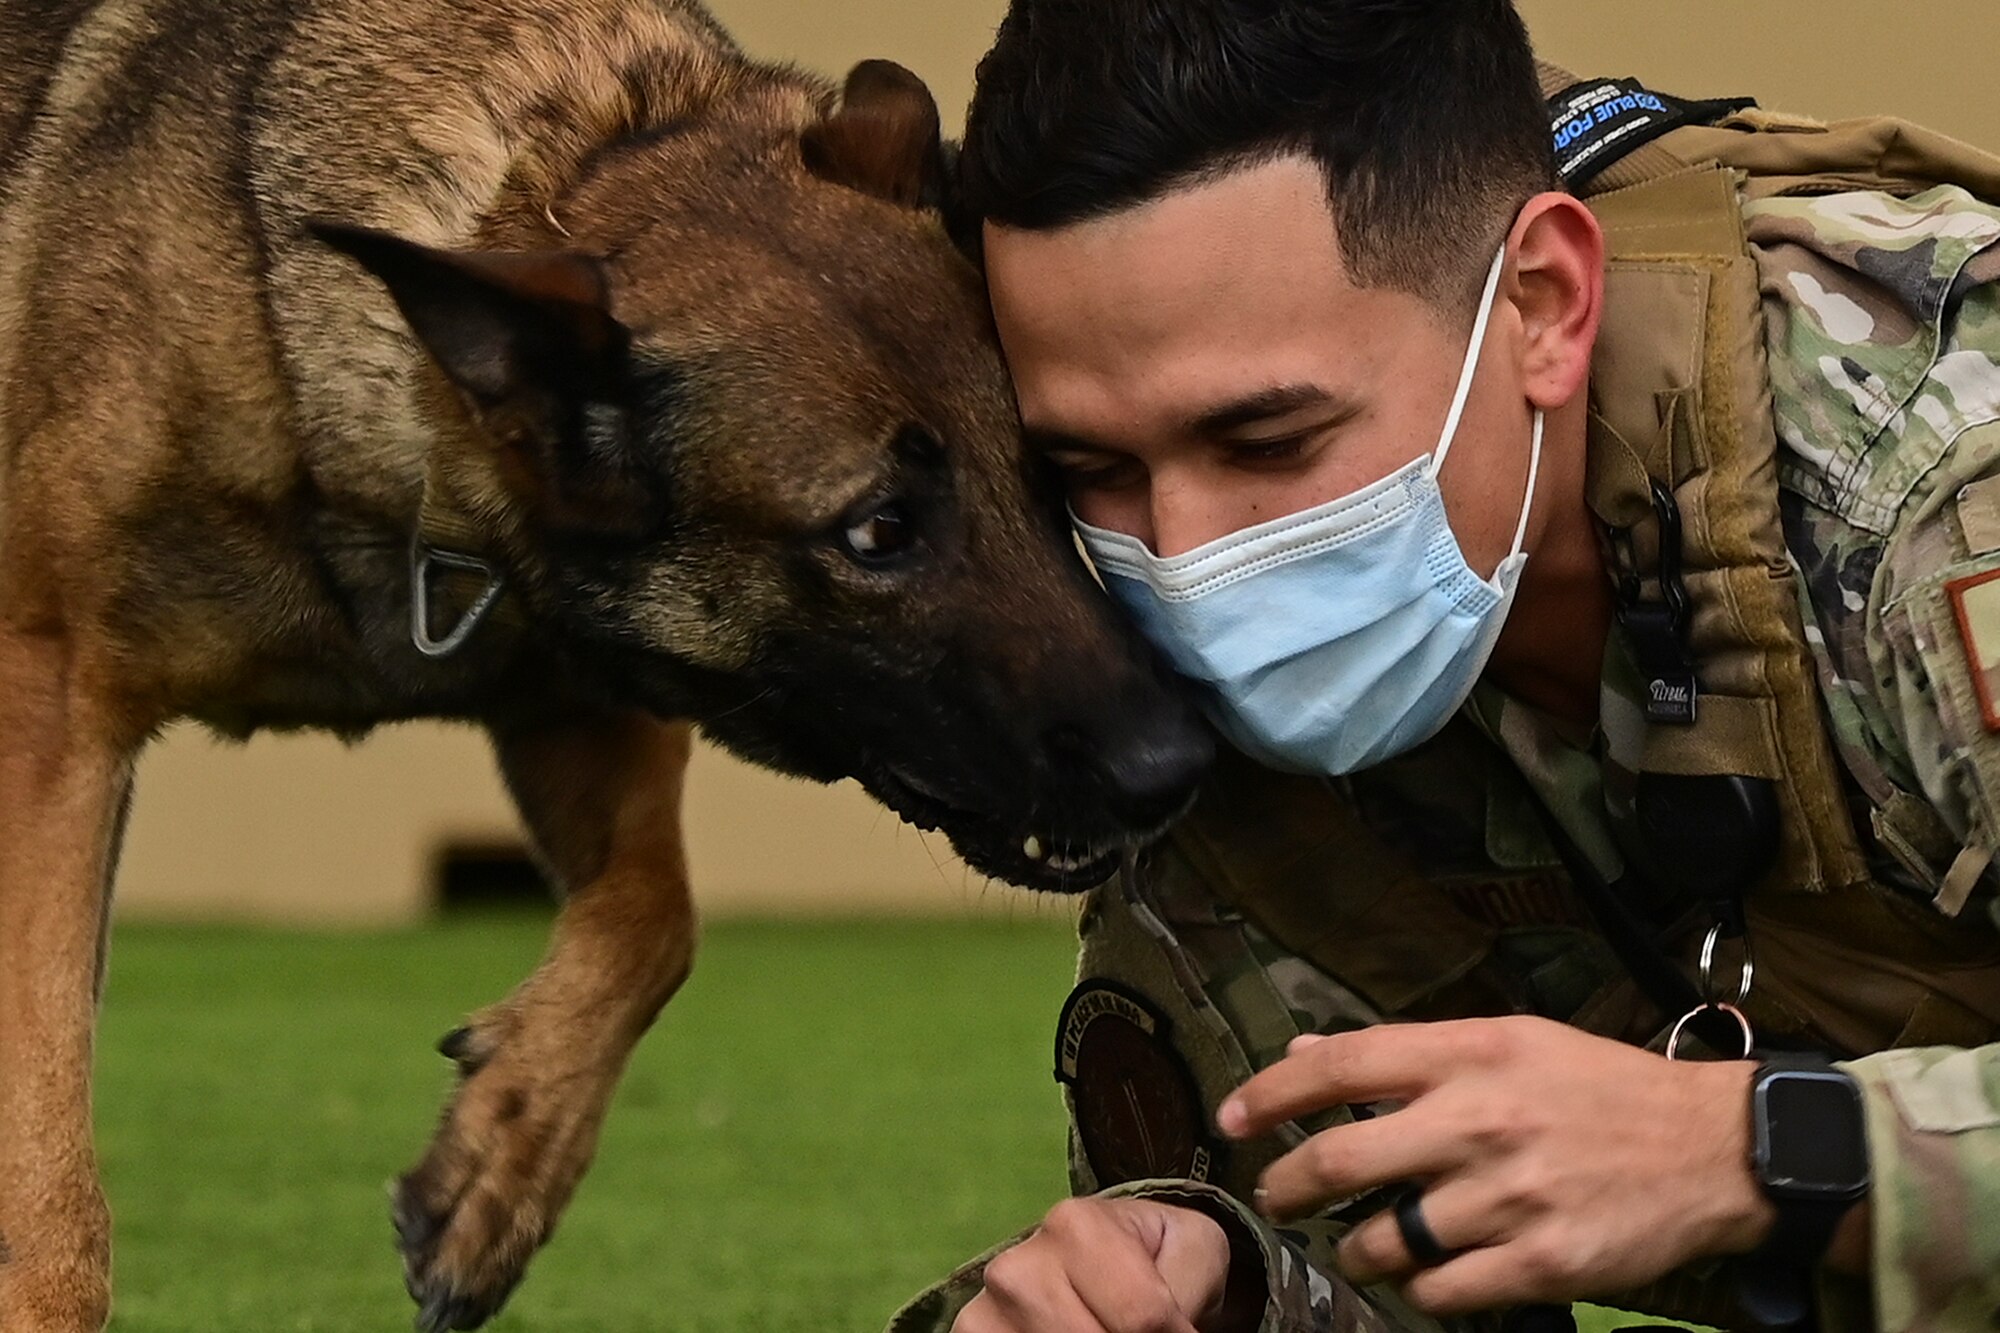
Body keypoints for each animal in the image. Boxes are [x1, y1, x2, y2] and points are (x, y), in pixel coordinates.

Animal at [0, 0, 1216, 1320]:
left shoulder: (577, 697)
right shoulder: (49, 717)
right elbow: (44, 1138)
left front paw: (504, 1157)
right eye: (877, 532)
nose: (1176, 763)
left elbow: (654, 914)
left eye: (1052, 477)